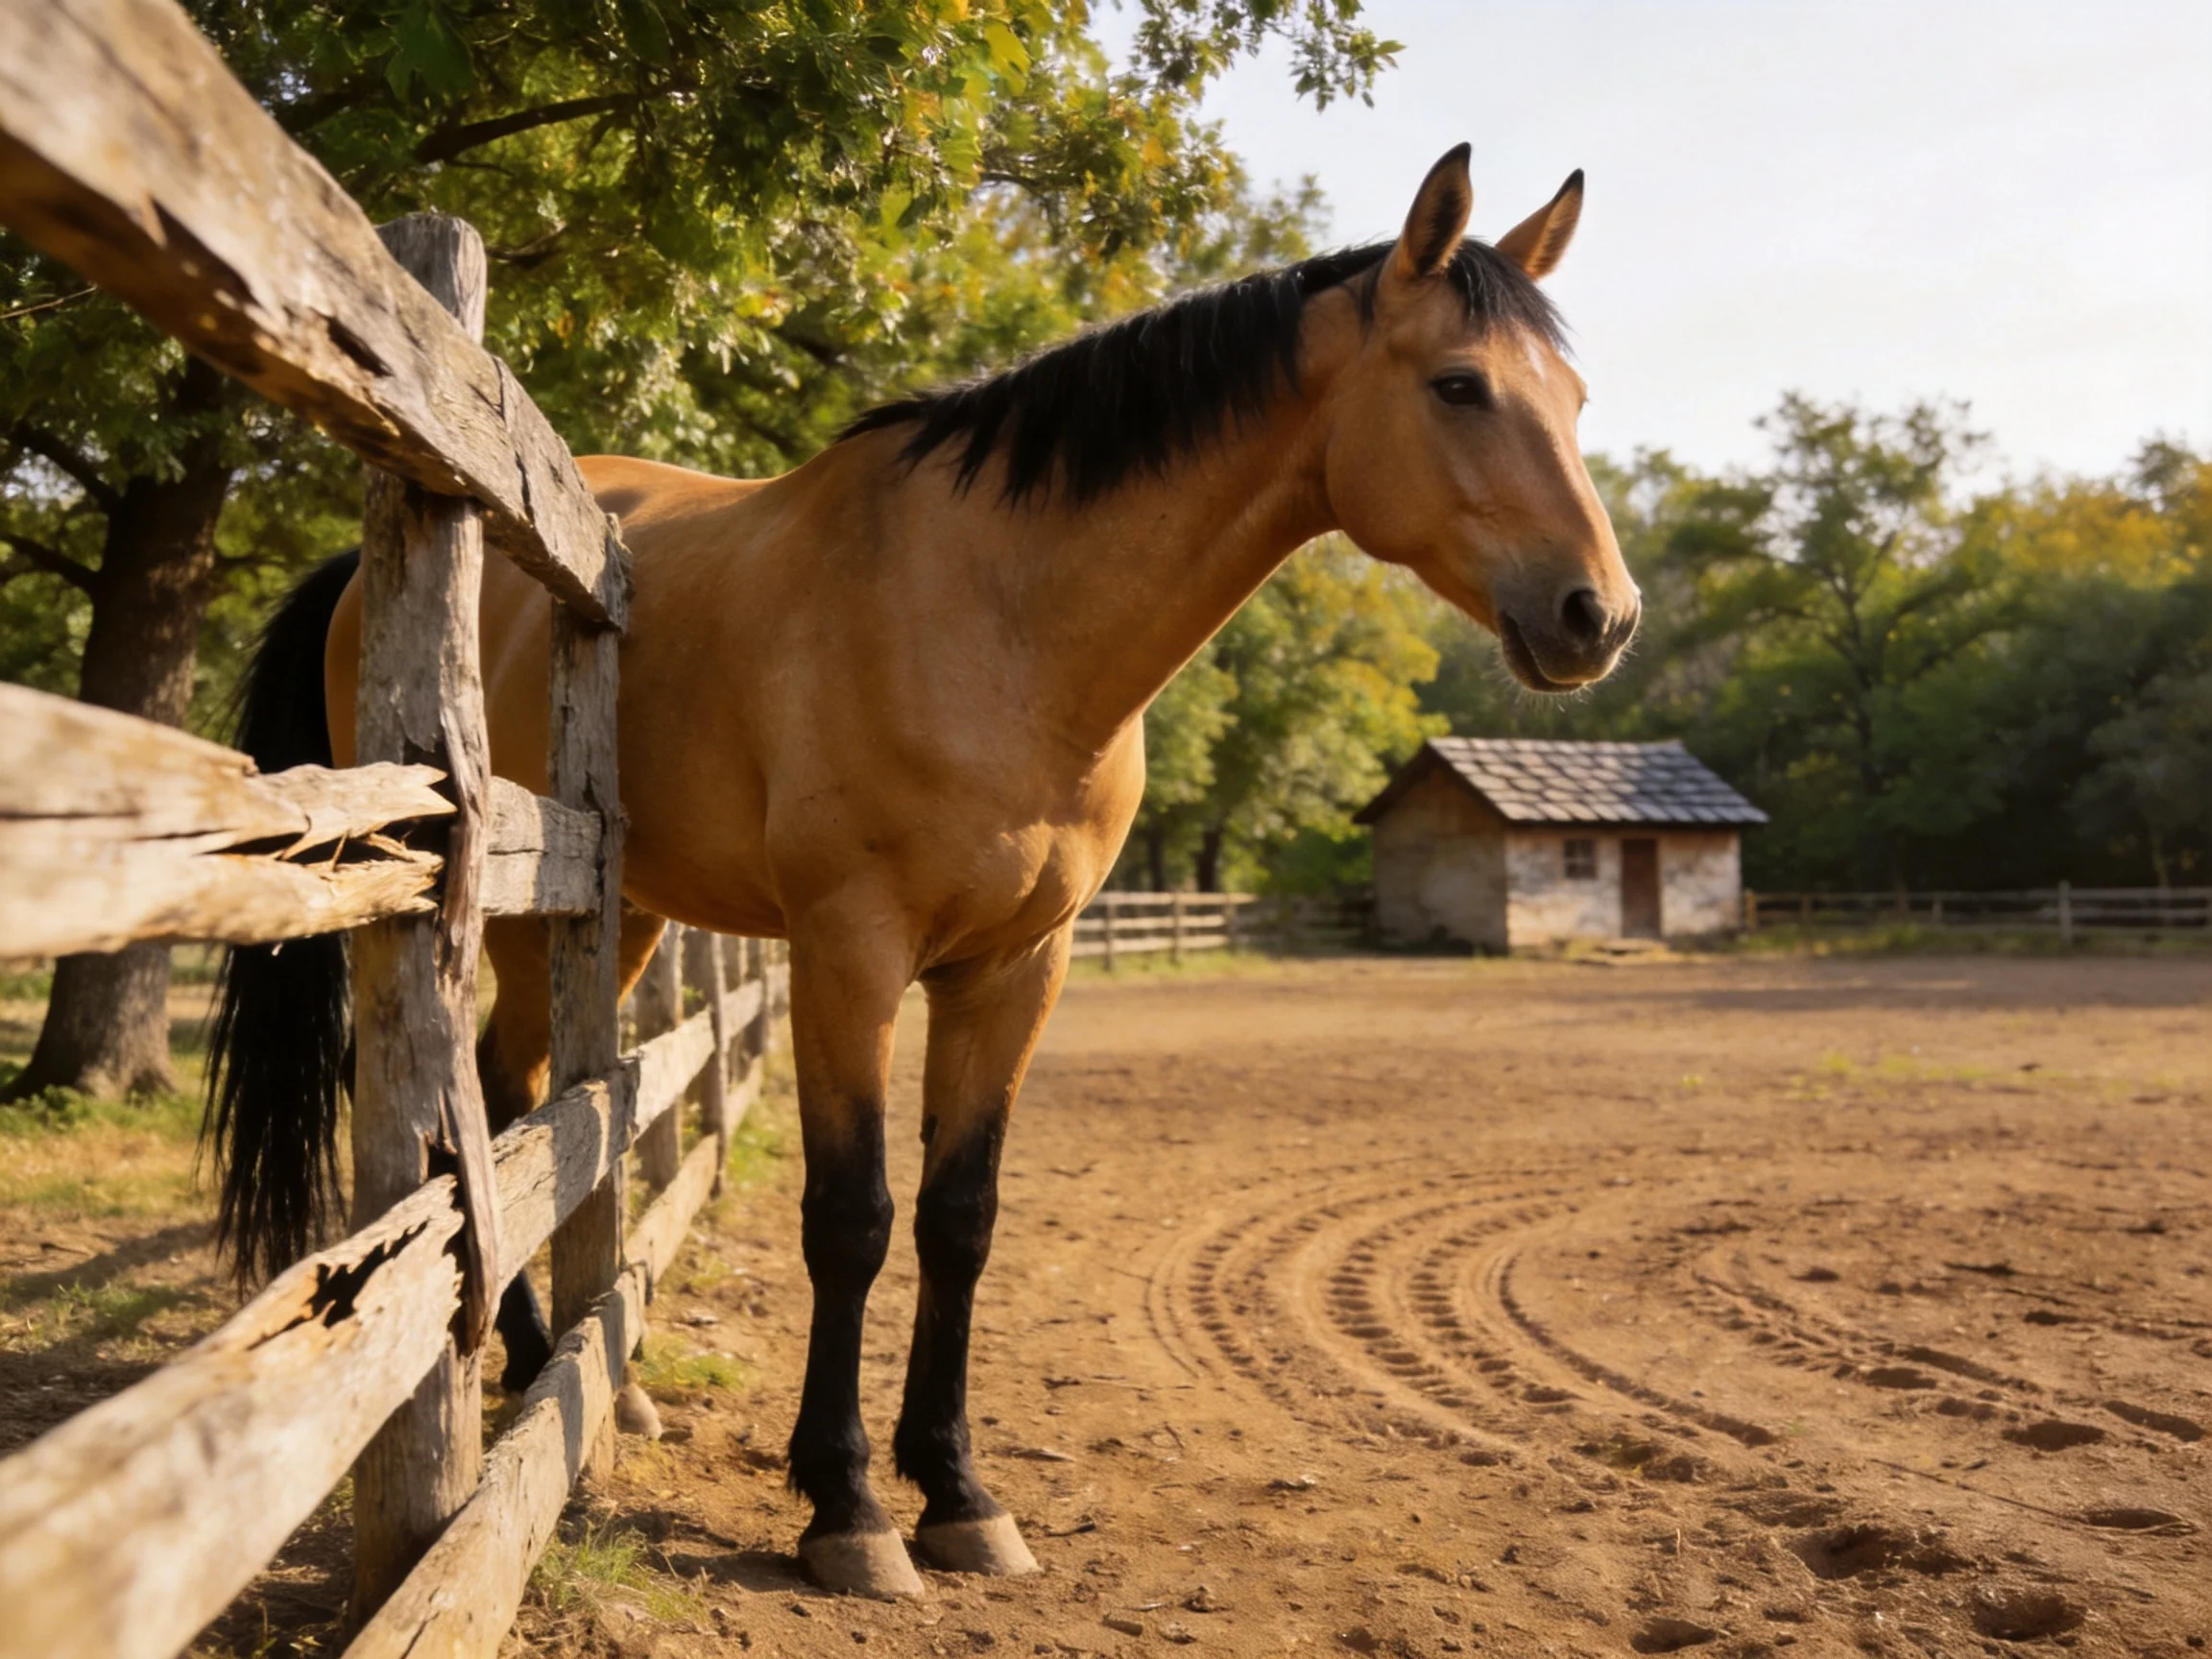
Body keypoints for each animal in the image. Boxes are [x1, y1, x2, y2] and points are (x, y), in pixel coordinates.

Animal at [207, 145, 1636, 1599]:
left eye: (1573, 398)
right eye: (1458, 385)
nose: (1600, 616)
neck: (999, 618)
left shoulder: (1014, 968)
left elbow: (960, 1217)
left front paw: (955, 1490)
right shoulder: (851, 954)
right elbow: (854, 1217)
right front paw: (845, 1507)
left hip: (625, 918)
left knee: (523, 1101)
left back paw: (580, 1374)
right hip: (493, 909)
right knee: (478, 1113)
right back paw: (528, 1363)